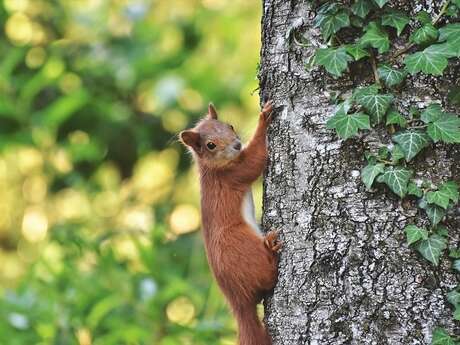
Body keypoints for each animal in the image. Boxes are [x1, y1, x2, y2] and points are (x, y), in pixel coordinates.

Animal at [180, 100, 280, 344]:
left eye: (230, 126)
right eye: (210, 145)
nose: (236, 145)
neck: (213, 168)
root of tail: (238, 301)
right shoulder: (234, 175)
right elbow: (255, 160)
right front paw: (263, 119)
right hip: (241, 245)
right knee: (268, 279)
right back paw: (272, 250)